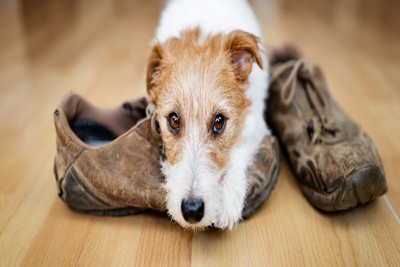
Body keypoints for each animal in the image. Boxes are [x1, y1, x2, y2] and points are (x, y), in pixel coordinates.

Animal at [145, 0, 270, 230]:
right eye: (173, 120)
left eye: (219, 122)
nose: (192, 210)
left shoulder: (255, 120)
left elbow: (238, 150)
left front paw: (229, 199)